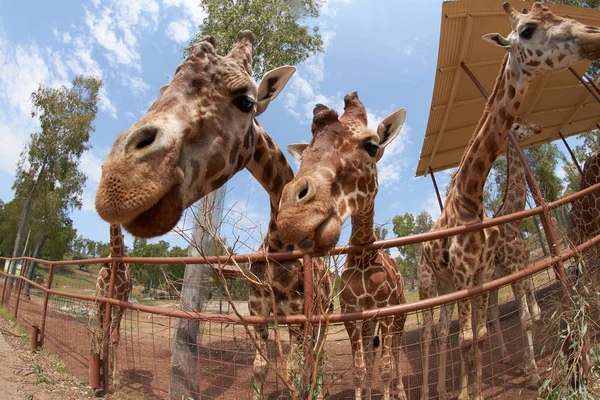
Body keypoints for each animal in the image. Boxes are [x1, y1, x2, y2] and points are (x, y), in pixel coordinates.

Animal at [96, 30, 336, 396]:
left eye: (247, 101)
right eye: (168, 87)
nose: (119, 181)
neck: (280, 246)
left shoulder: (299, 316)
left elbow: (298, 368)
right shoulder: (258, 312)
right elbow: (260, 368)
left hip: (322, 316)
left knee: (318, 362)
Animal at [276, 94, 408, 400]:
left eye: (372, 146)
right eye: (306, 151)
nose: (293, 216)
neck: (363, 256)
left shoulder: (385, 312)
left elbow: (385, 366)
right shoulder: (352, 315)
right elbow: (360, 367)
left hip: (400, 316)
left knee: (396, 352)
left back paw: (401, 391)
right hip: (370, 322)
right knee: (372, 355)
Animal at [414, 3, 600, 400]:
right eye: (527, 30)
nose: (594, 35)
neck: (470, 196)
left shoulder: (482, 276)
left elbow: (479, 336)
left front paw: (476, 390)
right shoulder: (467, 275)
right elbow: (470, 338)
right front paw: (469, 392)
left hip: (449, 288)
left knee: (444, 333)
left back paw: (442, 387)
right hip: (428, 285)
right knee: (428, 335)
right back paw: (429, 391)